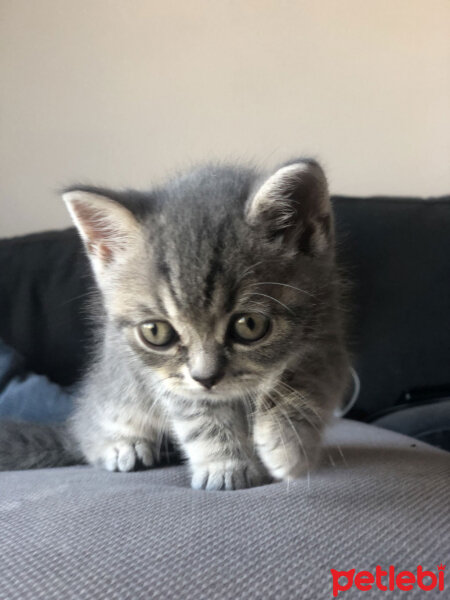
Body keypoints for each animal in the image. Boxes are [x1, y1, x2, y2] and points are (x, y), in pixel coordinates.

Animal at [0, 161, 348, 492]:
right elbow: (200, 415)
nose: (206, 378)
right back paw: (122, 445)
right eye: (156, 332)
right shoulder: (167, 379)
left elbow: (304, 381)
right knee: (90, 431)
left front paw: (288, 442)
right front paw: (224, 466)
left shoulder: (328, 332)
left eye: (249, 325)